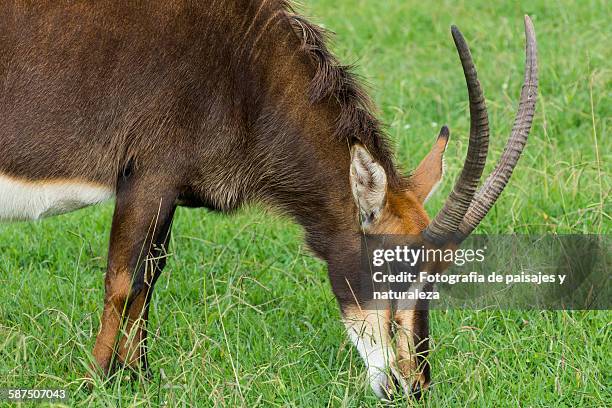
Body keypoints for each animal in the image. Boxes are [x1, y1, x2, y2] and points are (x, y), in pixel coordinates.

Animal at [0, 0, 536, 400]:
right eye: (390, 270)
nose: (414, 385)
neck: (245, 66)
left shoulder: (164, 193)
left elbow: (149, 278)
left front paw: (138, 378)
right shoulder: (148, 178)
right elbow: (124, 281)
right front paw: (98, 381)